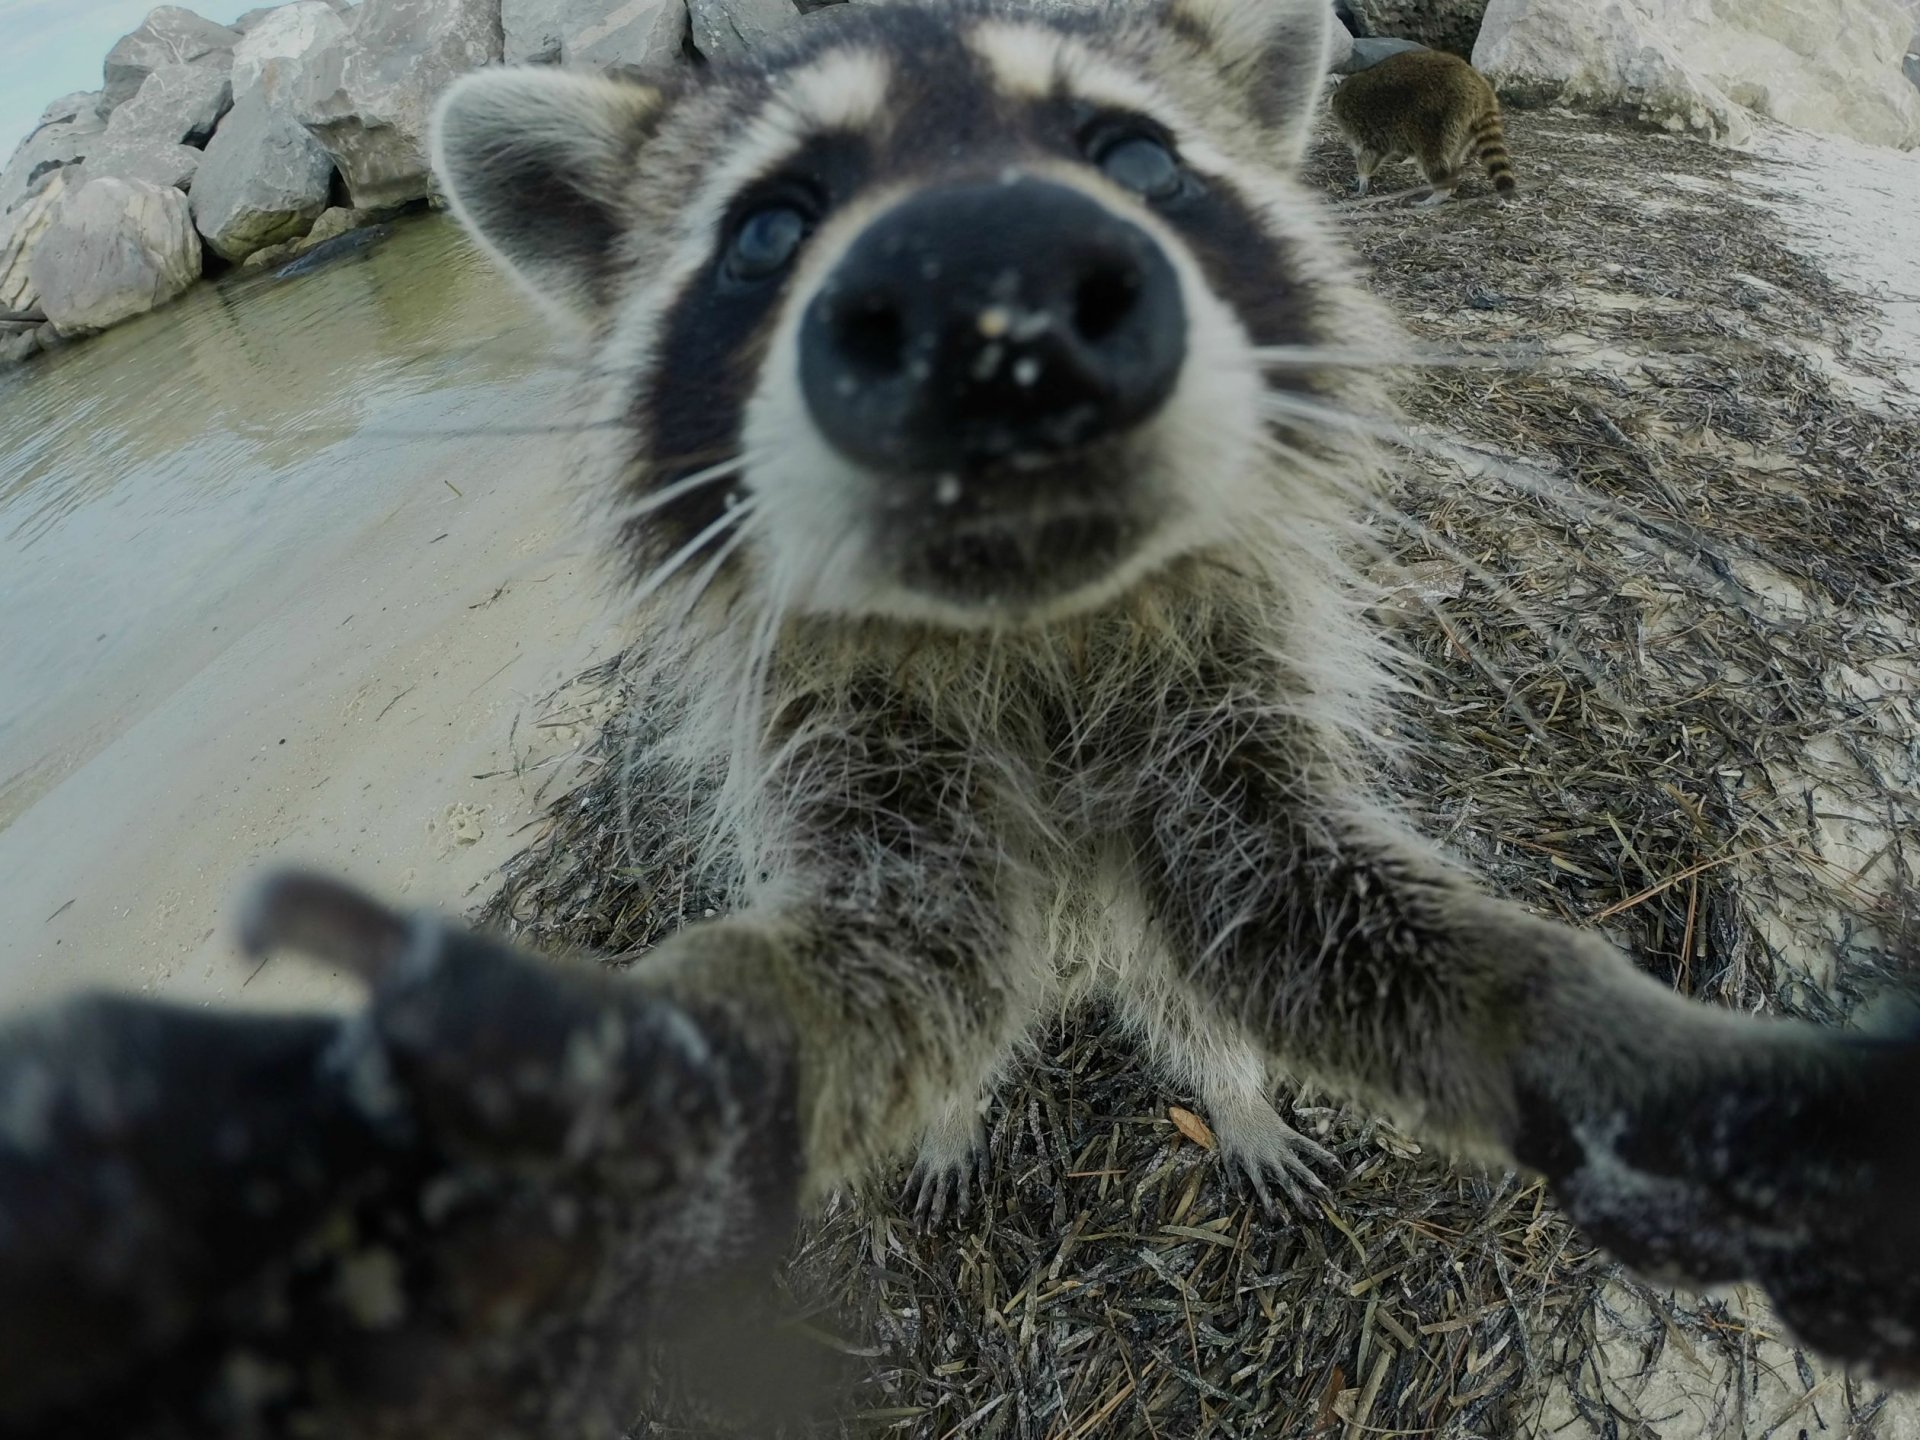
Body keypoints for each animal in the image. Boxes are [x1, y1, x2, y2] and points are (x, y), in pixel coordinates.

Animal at [1330, 47, 1517, 203]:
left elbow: (1369, 153)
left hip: (1439, 119)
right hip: (1462, 127)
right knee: (1453, 155)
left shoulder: (1363, 124)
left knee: (1432, 156)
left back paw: (1441, 191)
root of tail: (1481, 88)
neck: (1344, 88)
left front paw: (1362, 179)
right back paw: (1451, 184)